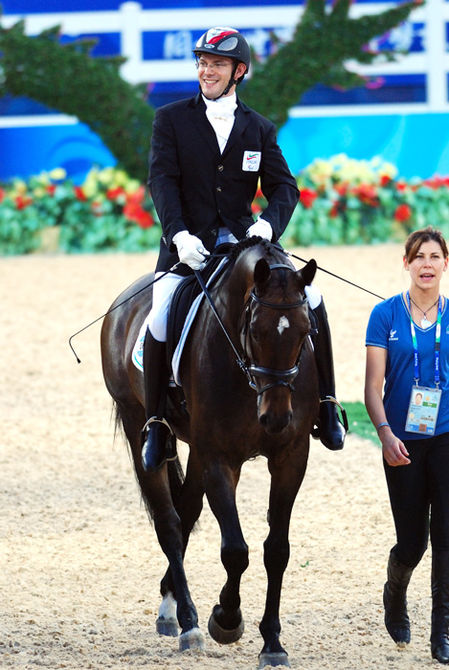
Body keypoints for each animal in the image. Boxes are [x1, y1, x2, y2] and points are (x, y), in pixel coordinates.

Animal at [100, 239, 318, 668]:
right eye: (255, 330)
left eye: (306, 330)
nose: (275, 417)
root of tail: (121, 304)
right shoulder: (219, 457)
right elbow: (235, 550)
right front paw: (226, 619)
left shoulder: (290, 456)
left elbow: (277, 550)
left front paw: (273, 642)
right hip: (139, 426)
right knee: (169, 522)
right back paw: (188, 624)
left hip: (197, 450)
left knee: (186, 512)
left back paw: (170, 606)